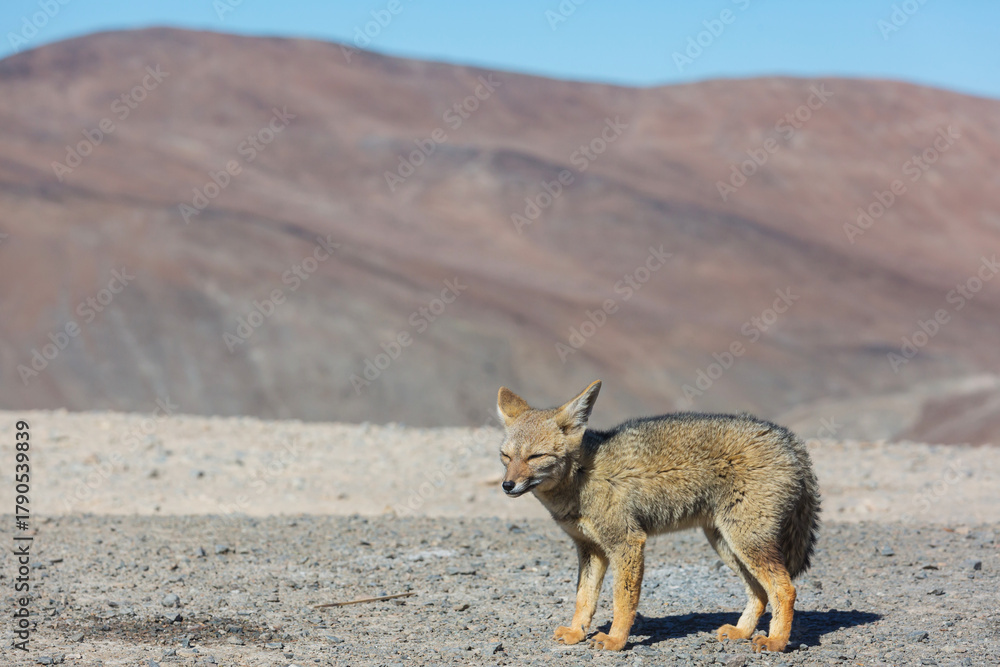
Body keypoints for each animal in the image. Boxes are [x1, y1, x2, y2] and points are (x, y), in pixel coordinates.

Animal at [497, 380, 820, 652]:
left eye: (535, 457)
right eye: (506, 456)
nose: (507, 486)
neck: (582, 476)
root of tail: (787, 438)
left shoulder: (627, 542)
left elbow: (622, 601)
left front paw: (615, 641)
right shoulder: (591, 549)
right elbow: (583, 599)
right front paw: (577, 633)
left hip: (747, 542)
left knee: (785, 589)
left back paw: (776, 641)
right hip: (728, 544)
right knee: (760, 592)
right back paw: (742, 632)